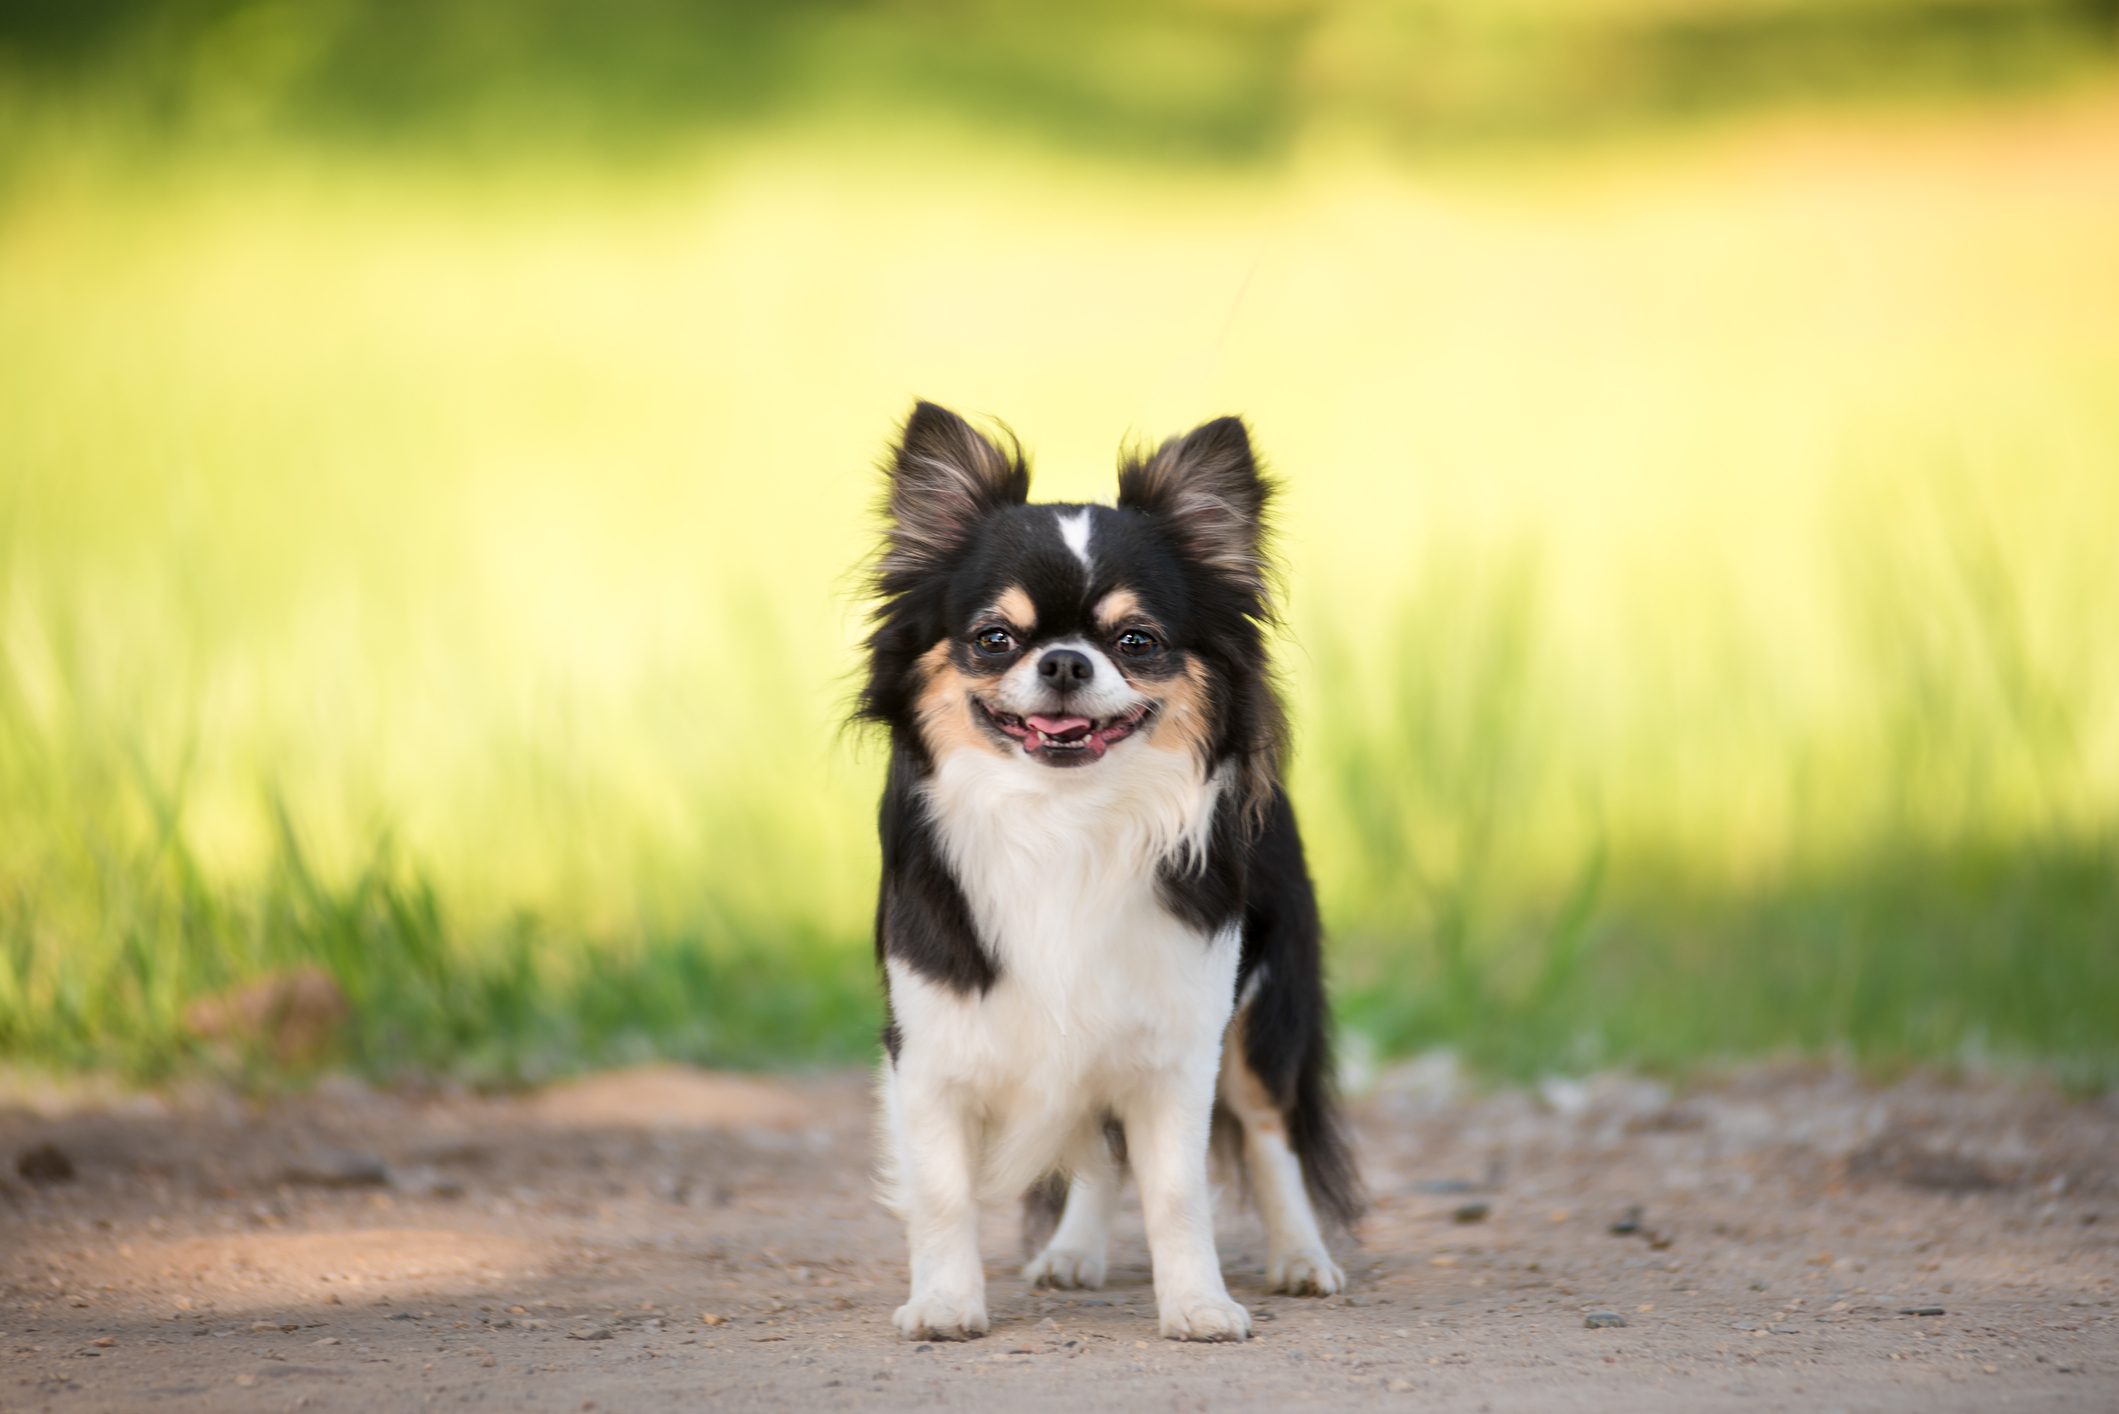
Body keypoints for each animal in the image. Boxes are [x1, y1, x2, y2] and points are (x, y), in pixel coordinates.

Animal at [856, 402, 1356, 1348]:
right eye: (994, 639)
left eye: (1136, 641)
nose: (1062, 661)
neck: (1064, 818)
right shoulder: (931, 1046)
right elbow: (941, 1192)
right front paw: (944, 1303)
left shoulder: (1180, 1043)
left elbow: (1177, 1191)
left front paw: (1197, 1305)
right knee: (1095, 1147)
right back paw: (1073, 1251)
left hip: (1261, 1015)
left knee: (1268, 1131)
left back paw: (1301, 1258)